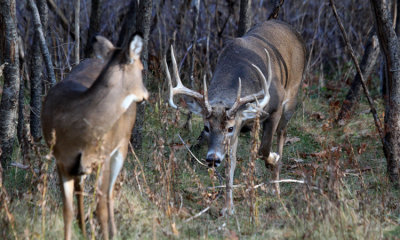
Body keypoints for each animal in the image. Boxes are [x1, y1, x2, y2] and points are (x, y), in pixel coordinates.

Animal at [42, 34, 148, 240]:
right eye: (141, 68)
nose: (146, 95)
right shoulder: (61, 160)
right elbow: (67, 211)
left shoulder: (102, 158)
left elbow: (101, 209)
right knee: (83, 192)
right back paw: (84, 228)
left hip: (122, 145)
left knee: (109, 194)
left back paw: (113, 231)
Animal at [166, 20, 306, 215]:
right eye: (206, 127)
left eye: (230, 127)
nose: (212, 158)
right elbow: (230, 164)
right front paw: (227, 207)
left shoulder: (274, 108)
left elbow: (264, 149)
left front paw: (274, 159)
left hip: (291, 97)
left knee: (282, 133)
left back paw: (276, 185)